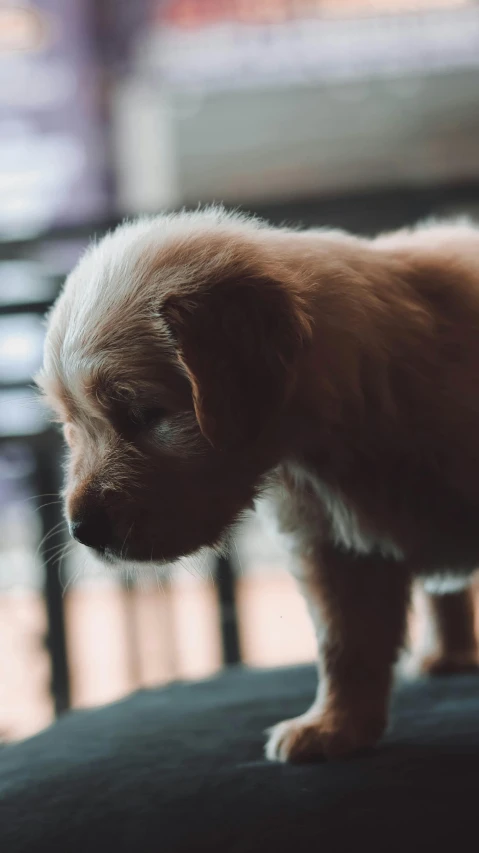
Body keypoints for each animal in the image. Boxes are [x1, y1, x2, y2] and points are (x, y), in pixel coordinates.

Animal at [38, 210, 479, 764]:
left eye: (142, 413)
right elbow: (344, 642)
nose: (82, 531)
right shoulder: (329, 546)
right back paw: (449, 653)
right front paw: (335, 727)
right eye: (69, 427)